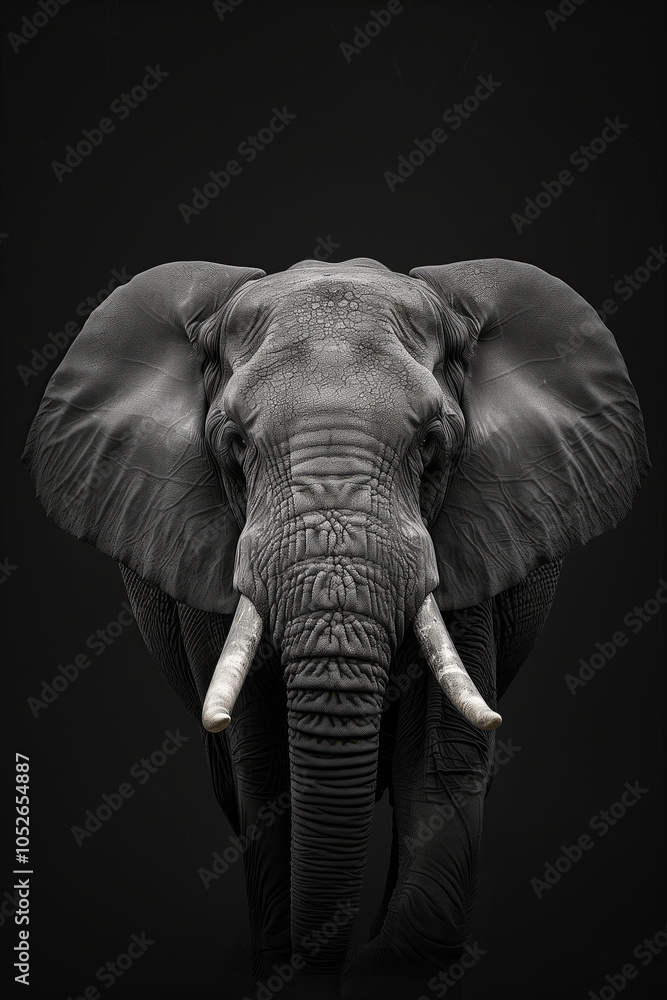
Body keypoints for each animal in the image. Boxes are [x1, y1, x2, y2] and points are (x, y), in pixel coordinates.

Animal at [23, 256, 649, 999]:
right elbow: (263, 768)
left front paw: (392, 965)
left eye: (432, 444)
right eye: (234, 444)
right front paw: (288, 962)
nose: (331, 970)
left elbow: (439, 762)